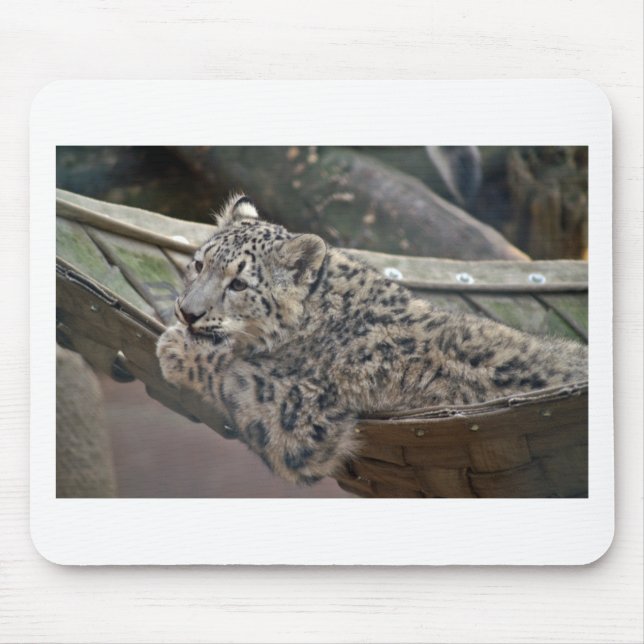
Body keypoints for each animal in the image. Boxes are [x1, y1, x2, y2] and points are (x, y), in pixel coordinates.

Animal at [156, 194, 588, 485]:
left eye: (239, 283)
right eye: (199, 264)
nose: (187, 312)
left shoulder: (298, 413)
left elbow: (231, 372)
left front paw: (175, 347)